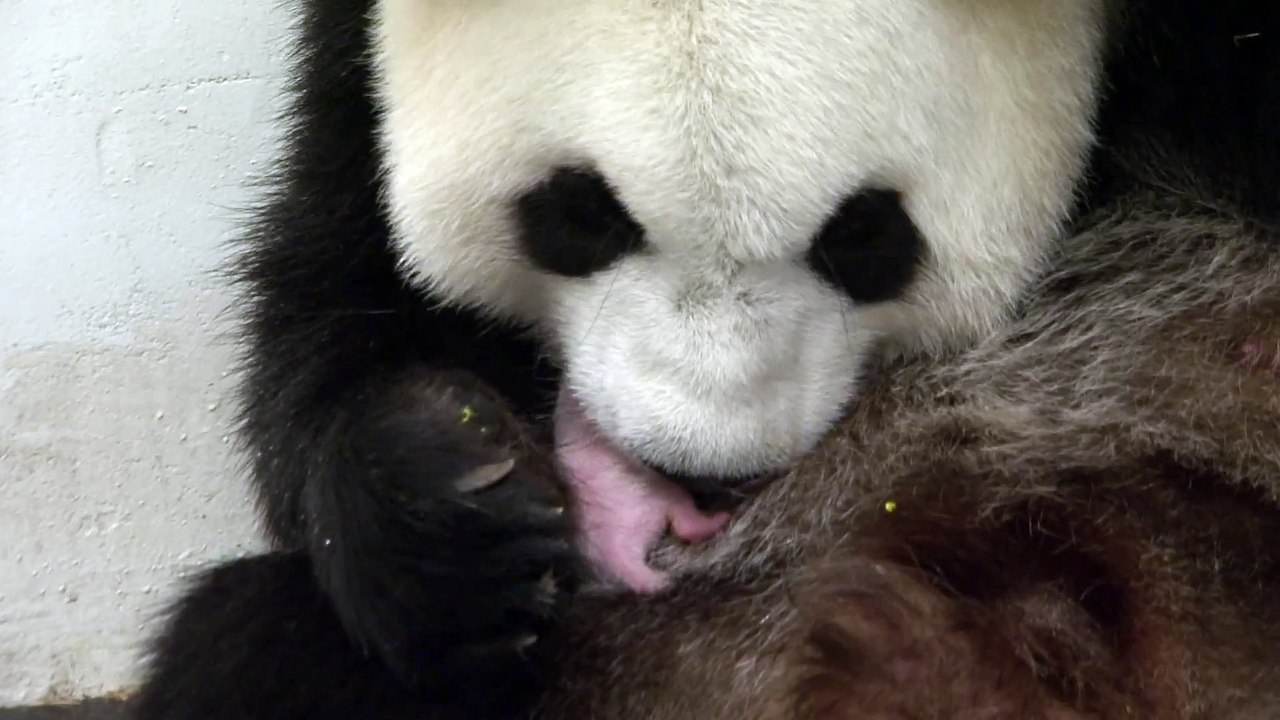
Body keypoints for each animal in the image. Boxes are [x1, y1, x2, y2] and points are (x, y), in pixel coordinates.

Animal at [133, 0, 1277, 719]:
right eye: (577, 214)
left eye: (865, 233)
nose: (695, 472)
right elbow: (340, 273)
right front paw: (449, 491)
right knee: (256, 649)